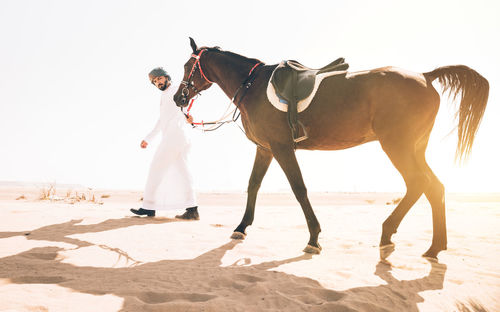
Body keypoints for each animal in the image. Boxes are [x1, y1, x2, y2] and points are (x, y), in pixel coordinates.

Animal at [172, 37, 488, 260]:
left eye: (188, 67)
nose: (178, 97)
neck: (253, 85)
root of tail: (426, 75)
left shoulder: (282, 149)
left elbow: (299, 189)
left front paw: (314, 238)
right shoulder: (265, 150)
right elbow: (253, 186)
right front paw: (241, 227)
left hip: (397, 146)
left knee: (418, 183)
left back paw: (388, 233)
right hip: (415, 148)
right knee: (435, 187)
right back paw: (434, 247)